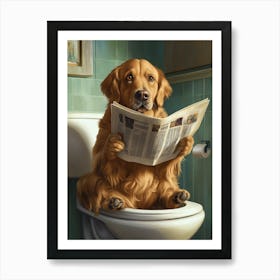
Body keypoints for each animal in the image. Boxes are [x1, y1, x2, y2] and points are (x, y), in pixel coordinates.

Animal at [77, 58, 194, 212]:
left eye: (151, 78)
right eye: (129, 77)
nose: (143, 95)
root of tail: (140, 205)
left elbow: (164, 168)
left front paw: (185, 144)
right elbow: (107, 164)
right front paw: (113, 144)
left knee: (166, 189)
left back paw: (177, 196)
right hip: (87, 181)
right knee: (97, 187)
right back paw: (113, 201)